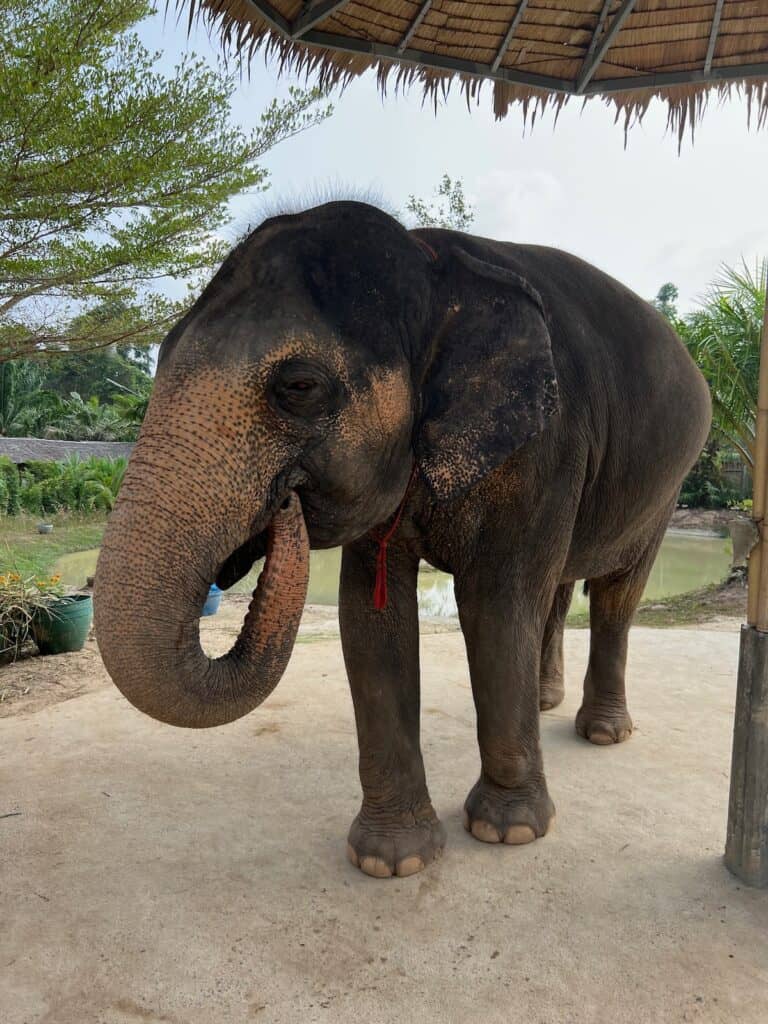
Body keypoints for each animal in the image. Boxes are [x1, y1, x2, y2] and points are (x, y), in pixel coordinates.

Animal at [94, 201, 711, 879]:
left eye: (299, 386)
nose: (282, 507)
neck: (433, 269)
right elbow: (370, 619)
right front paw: (392, 860)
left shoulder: (546, 445)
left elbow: (497, 607)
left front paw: (510, 831)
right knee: (559, 586)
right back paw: (546, 702)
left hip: (667, 486)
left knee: (615, 594)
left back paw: (601, 733)